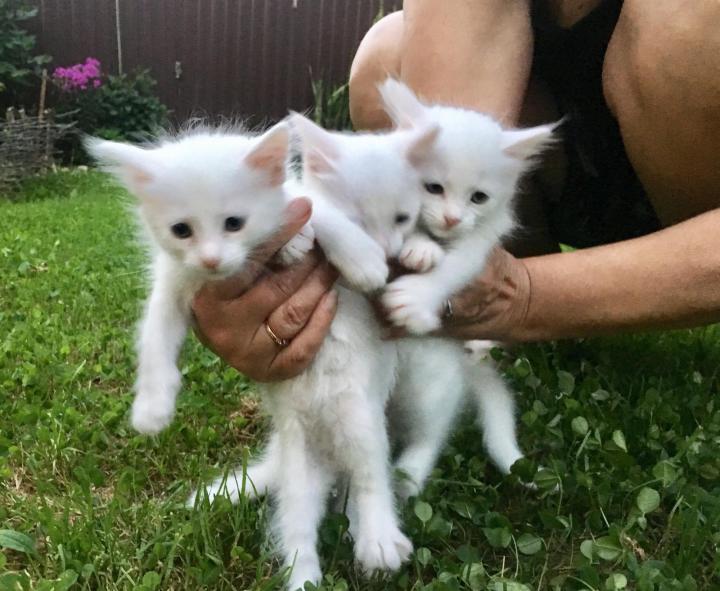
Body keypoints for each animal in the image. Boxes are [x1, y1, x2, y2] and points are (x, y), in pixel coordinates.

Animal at [190, 113, 441, 591]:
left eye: (403, 218)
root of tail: (326, 456)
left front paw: (417, 251)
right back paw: (309, 573)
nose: (385, 252)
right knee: (297, 532)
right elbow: (311, 210)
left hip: (360, 422)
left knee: (369, 480)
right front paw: (298, 242)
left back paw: (375, 537)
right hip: (301, 471)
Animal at [377, 78, 557, 497]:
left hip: (429, 382)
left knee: (431, 432)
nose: (452, 218)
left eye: (479, 197)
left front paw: (414, 298)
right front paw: (420, 245)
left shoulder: (483, 244)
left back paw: (408, 475)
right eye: (433, 187)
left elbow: (455, 267)